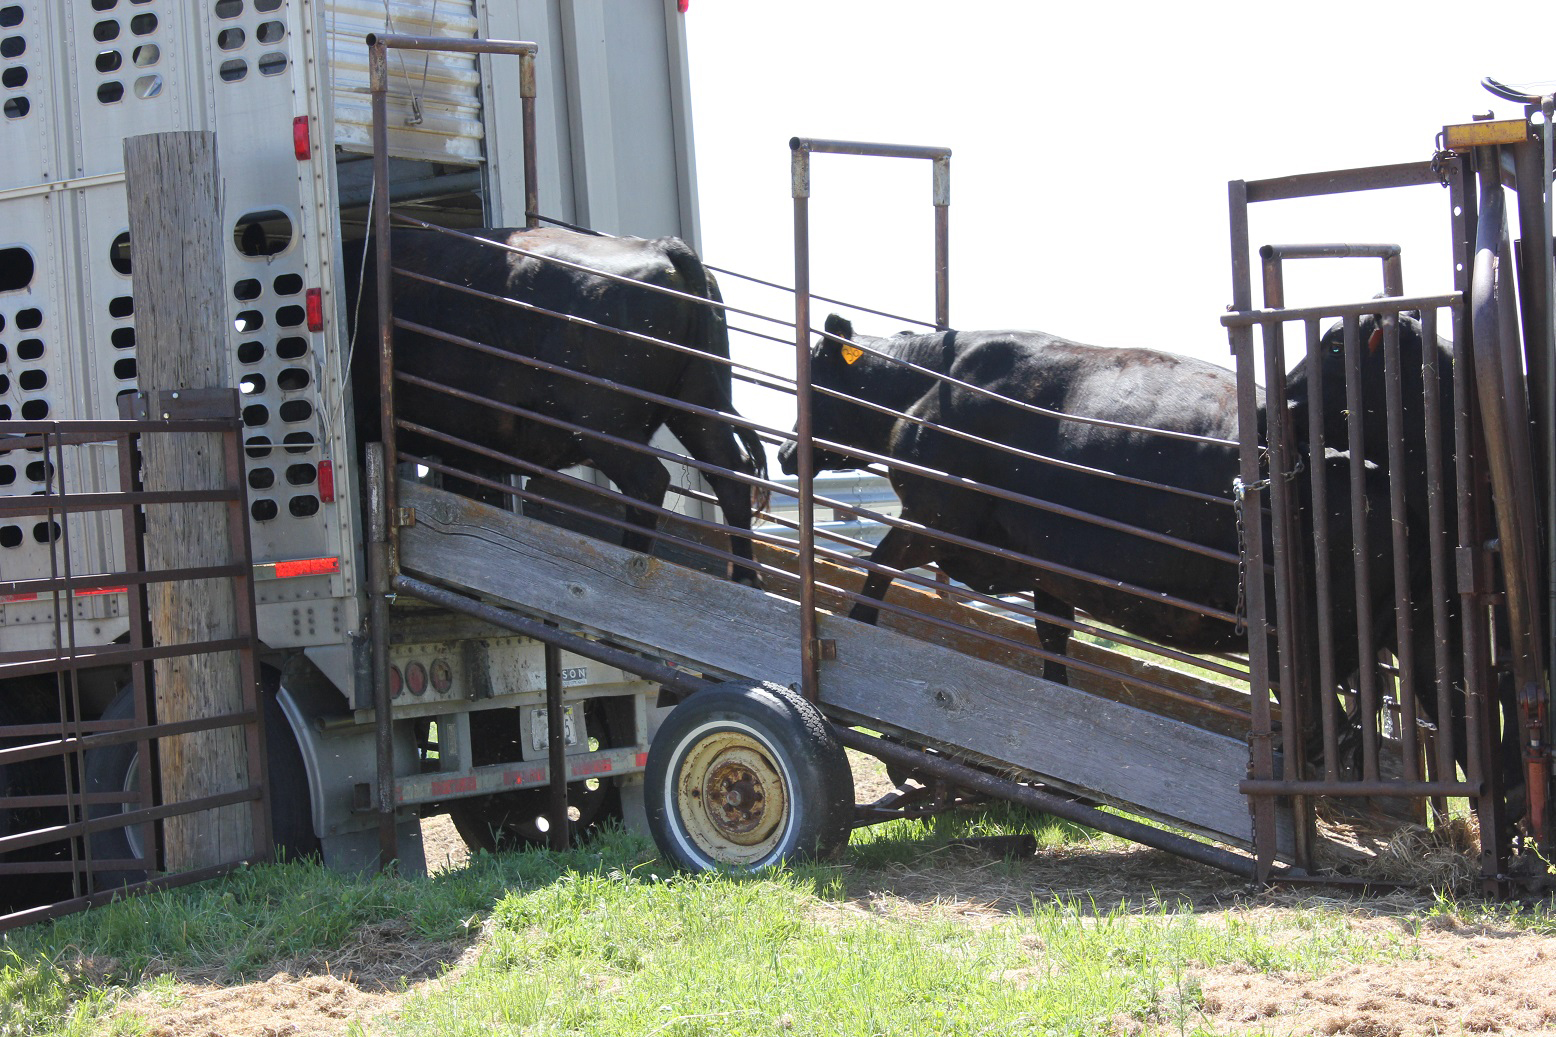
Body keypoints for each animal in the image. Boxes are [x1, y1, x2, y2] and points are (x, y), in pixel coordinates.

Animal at [351, 222, 765, 585]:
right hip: (697, 403)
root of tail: (659, 246)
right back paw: (745, 577)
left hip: (605, 426)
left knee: (648, 482)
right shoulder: (461, 449)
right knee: (731, 473)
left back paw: (631, 562)